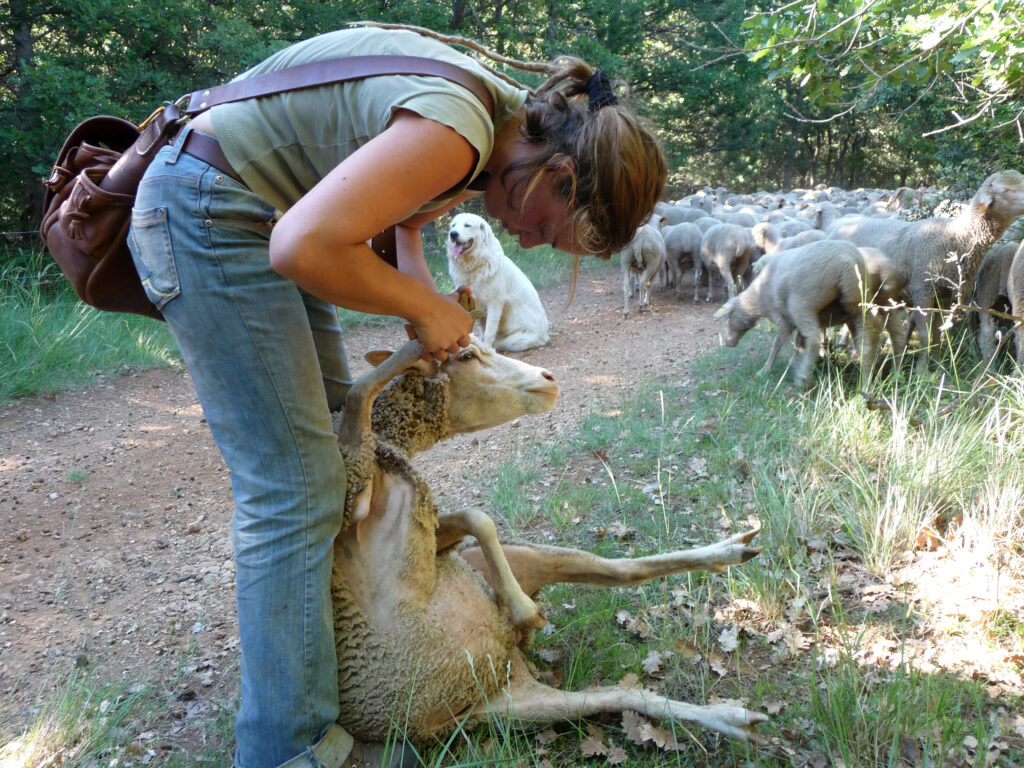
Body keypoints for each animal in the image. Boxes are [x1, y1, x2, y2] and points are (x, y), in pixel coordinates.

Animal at [333, 335, 770, 745]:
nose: (548, 378)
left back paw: (730, 552)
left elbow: (477, 516)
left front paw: (523, 609)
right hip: (500, 710)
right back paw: (734, 717)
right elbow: (359, 392)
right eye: (466, 356)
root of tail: (511, 662)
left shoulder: (419, 529)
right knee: (623, 693)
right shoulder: (358, 505)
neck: (389, 455)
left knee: (620, 570)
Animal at [444, 211, 548, 354]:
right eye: (453, 225)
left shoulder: (494, 303)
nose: (453, 234)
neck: (475, 265)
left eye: (467, 225)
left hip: (514, 341)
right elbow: (481, 328)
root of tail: (545, 336)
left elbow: (489, 331)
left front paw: (485, 348)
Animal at [712, 240, 897, 387]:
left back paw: (803, 378)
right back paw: (866, 381)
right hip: (856, 306)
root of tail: (846, 261)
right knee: (864, 343)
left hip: (802, 304)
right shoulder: (793, 322)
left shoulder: (783, 319)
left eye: (728, 317)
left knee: (814, 340)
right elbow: (799, 342)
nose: (728, 343)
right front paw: (798, 360)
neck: (757, 297)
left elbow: (778, 343)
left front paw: (769, 369)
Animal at [827, 168, 1024, 372]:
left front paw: (936, 366)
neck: (956, 237)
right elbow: (924, 335)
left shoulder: (943, 297)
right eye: (1006, 190)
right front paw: (921, 370)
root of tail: (837, 227)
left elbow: (936, 334)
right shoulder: (922, 291)